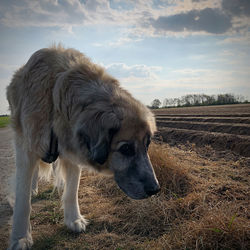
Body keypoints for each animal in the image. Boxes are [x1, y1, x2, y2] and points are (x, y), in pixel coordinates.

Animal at [6, 45, 160, 250]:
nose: (155, 189)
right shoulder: (26, 149)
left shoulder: (72, 152)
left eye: (147, 145)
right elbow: (23, 200)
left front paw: (74, 220)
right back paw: (33, 189)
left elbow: (72, 190)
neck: (57, 101)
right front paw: (20, 237)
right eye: (126, 149)